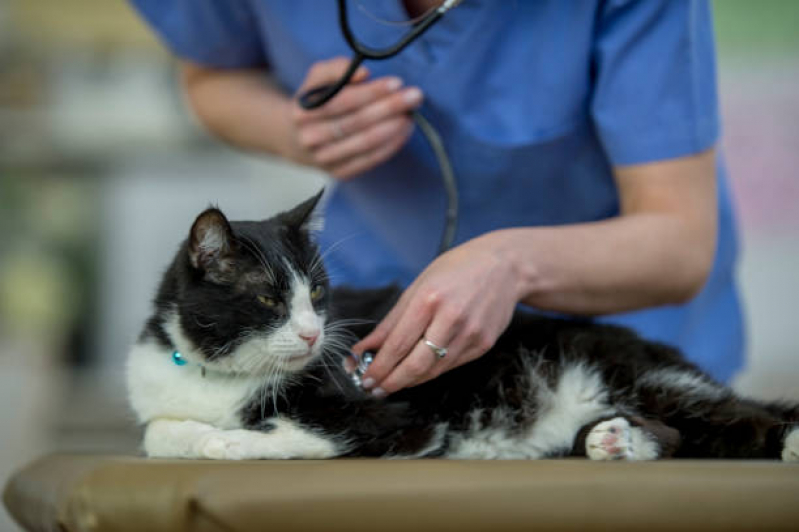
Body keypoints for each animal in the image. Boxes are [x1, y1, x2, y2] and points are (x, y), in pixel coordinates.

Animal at [126, 191, 799, 462]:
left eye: (316, 294)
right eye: (268, 297)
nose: (317, 334)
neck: (222, 377)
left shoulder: (393, 417)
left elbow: (304, 433)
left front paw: (229, 442)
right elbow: (158, 431)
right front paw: (197, 435)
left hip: (638, 375)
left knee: (735, 419)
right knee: (687, 435)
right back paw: (615, 443)